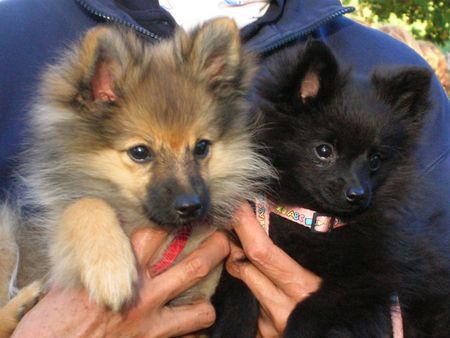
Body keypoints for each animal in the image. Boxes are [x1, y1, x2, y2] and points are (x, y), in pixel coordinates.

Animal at [212, 40, 450, 338]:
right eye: (324, 151)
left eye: (375, 160)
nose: (357, 195)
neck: (315, 220)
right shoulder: (240, 256)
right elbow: (237, 299)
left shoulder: (369, 281)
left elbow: (312, 307)